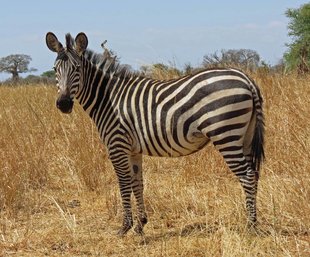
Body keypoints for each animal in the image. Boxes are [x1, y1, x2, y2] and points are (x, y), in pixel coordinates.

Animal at [45, 32, 264, 236]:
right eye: (55, 69)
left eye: (77, 69)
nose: (63, 104)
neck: (108, 99)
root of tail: (245, 77)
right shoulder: (133, 150)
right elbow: (137, 184)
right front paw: (140, 225)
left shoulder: (117, 145)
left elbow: (123, 184)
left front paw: (125, 227)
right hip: (244, 135)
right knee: (254, 173)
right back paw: (253, 221)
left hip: (225, 134)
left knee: (246, 175)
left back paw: (250, 225)